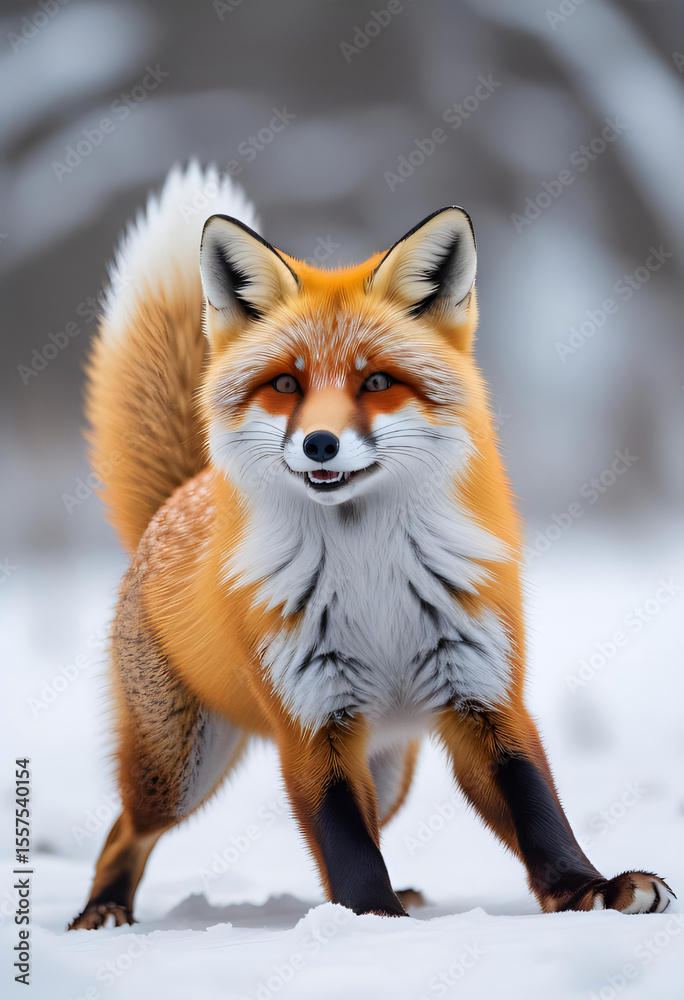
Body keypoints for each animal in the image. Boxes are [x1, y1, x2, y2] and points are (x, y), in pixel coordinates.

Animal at [69, 162, 673, 930]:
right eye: (287, 383)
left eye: (377, 381)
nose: (320, 443)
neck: (371, 577)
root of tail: (178, 496)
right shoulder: (310, 723)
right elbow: (346, 845)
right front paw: (375, 924)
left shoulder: (484, 695)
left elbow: (537, 812)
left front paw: (588, 891)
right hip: (178, 770)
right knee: (125, 829)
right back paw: (102, 908)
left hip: (387, 768)